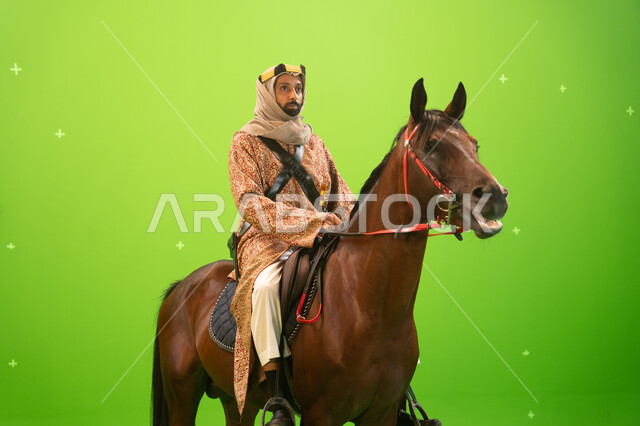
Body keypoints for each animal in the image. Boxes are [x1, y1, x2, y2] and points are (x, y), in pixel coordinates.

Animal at [151, 78, 509, 426]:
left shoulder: (381, 413)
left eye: (475, 145)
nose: (494, 196)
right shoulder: (321, 413)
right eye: (432, 145)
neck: (369, 308)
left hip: (238, 400)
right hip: (182, 395)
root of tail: (183, 286)